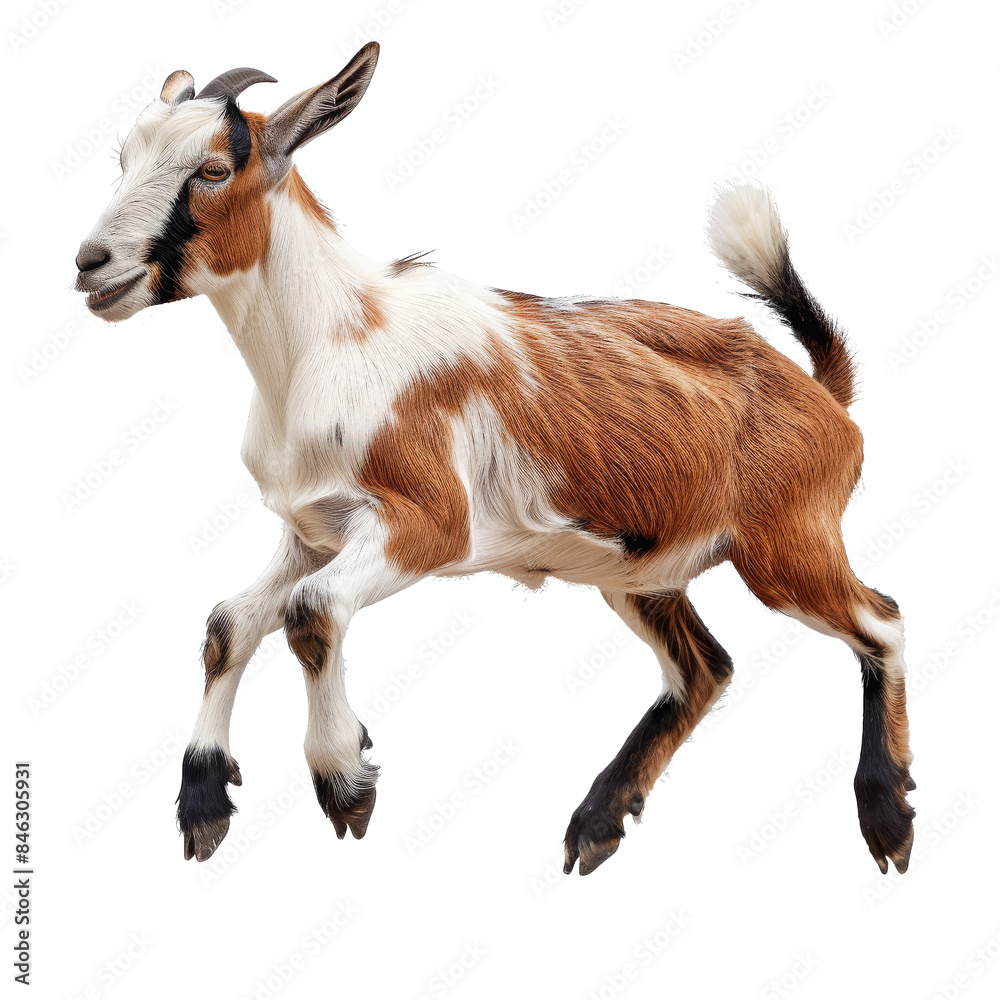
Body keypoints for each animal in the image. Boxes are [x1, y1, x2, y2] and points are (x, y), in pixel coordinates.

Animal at [75, 43, 915, 875]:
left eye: (214, 169)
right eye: (122, 158)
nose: (91, 263)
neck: (330, 338)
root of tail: (821, 394)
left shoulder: (430, 525)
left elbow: (308, 611)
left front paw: (346, 780)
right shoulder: (313, 529)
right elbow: (230, 621)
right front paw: (204, 803)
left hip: (787, 542)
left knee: (882, 621)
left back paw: (888, 819)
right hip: (641, 568)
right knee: (707, 667)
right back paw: (597, 824)